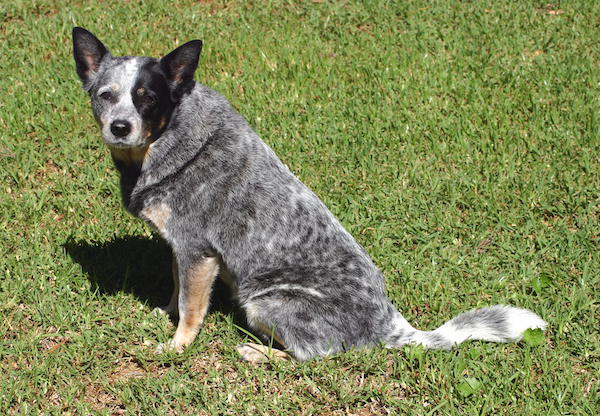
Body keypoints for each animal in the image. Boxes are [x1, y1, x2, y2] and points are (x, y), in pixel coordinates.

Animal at [72, 27, 548, 362]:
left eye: (147, 99)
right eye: (105, 96)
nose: (119, 127)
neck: (167, 142)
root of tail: (391, 325)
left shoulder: (197, 251)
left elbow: (192, 307)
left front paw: (176, 347)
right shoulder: (180, 247)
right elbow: (177, 289)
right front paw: (165, 313)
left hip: (264, 301)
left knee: (312, 357)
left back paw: (259, 353)